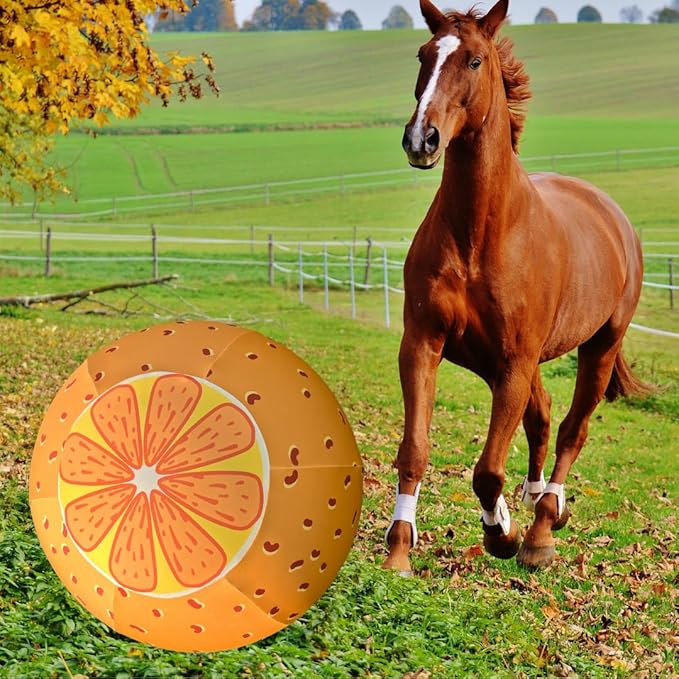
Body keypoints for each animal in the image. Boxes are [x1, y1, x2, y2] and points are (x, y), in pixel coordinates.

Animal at [383, 0, 648, 573]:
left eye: (475, 60)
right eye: (423, 55)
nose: (421, 139)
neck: (481, 235)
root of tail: (613, 216)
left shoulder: (514, 362)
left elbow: (487, 470)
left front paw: (501, 533)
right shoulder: (424, 345)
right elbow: (415, 449)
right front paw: (398, 550)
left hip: (598, 347)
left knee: (571, 429)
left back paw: (543, 525)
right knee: (543, 418)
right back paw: (533, 500)